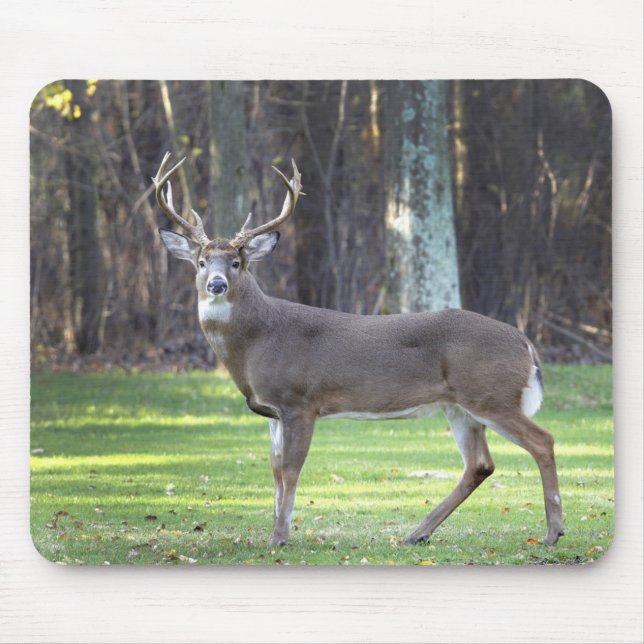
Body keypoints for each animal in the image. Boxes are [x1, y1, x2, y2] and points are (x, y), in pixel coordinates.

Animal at [152, 152, 565, 548]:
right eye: (201, 262)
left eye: (237, 262)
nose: (217, 285)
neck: (257, 342)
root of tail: (526, 344)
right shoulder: (272, 411)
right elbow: (274, 472)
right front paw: (273, 532)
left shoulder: (300, 401)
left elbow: (290, 471)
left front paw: (280, 537)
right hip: (461, 407)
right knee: (479, 464)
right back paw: (417, 533)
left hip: (490, 394)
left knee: (542, 440)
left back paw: (552, 532)